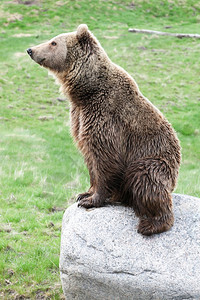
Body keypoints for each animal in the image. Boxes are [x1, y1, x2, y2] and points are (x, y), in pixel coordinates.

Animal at [26, 24, 181, 236]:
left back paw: (151, 224)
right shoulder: (80, 118)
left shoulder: (107, 118)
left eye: (53, 42)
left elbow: (105, 157)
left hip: (154, 159)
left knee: (145, 180)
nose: (30, 49)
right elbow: (90, 157)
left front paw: (91, 201)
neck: (85, 91)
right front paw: (83, 193)